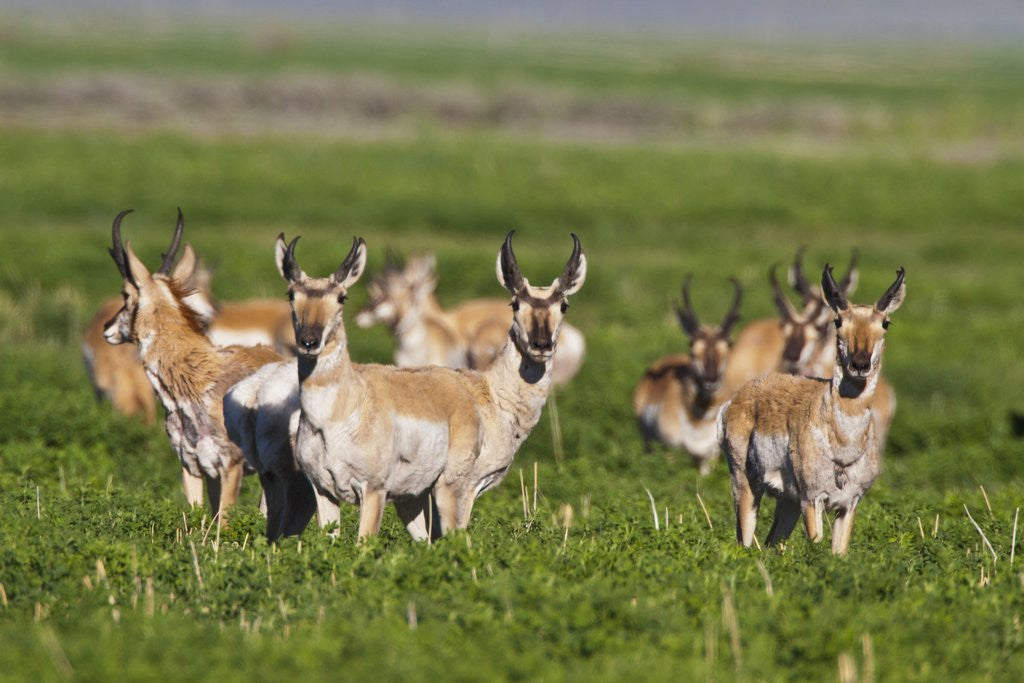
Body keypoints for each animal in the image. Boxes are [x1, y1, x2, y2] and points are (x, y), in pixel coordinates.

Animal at [104, 209, 282, 524]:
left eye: (125, 294)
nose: (107, 328)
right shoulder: (194, 468)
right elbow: (197, 519)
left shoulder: (231, 467)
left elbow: (223, 524)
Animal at [632, 276, 741, 474]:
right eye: (692, 345)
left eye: (728, 344)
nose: (710, 381)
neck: (698, 420)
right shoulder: (671, 452)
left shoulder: (709, 457)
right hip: (648, 440)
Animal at [718, 265, 905, 555]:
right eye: (838, 321)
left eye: (885, 323)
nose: (860, 364)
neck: (843, 444)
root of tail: (741, 395)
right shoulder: (811, 499)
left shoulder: (848, 504)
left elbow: (838, 553)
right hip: (746, 486)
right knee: (745, 540)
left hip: (787, 503)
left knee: (772, 542)